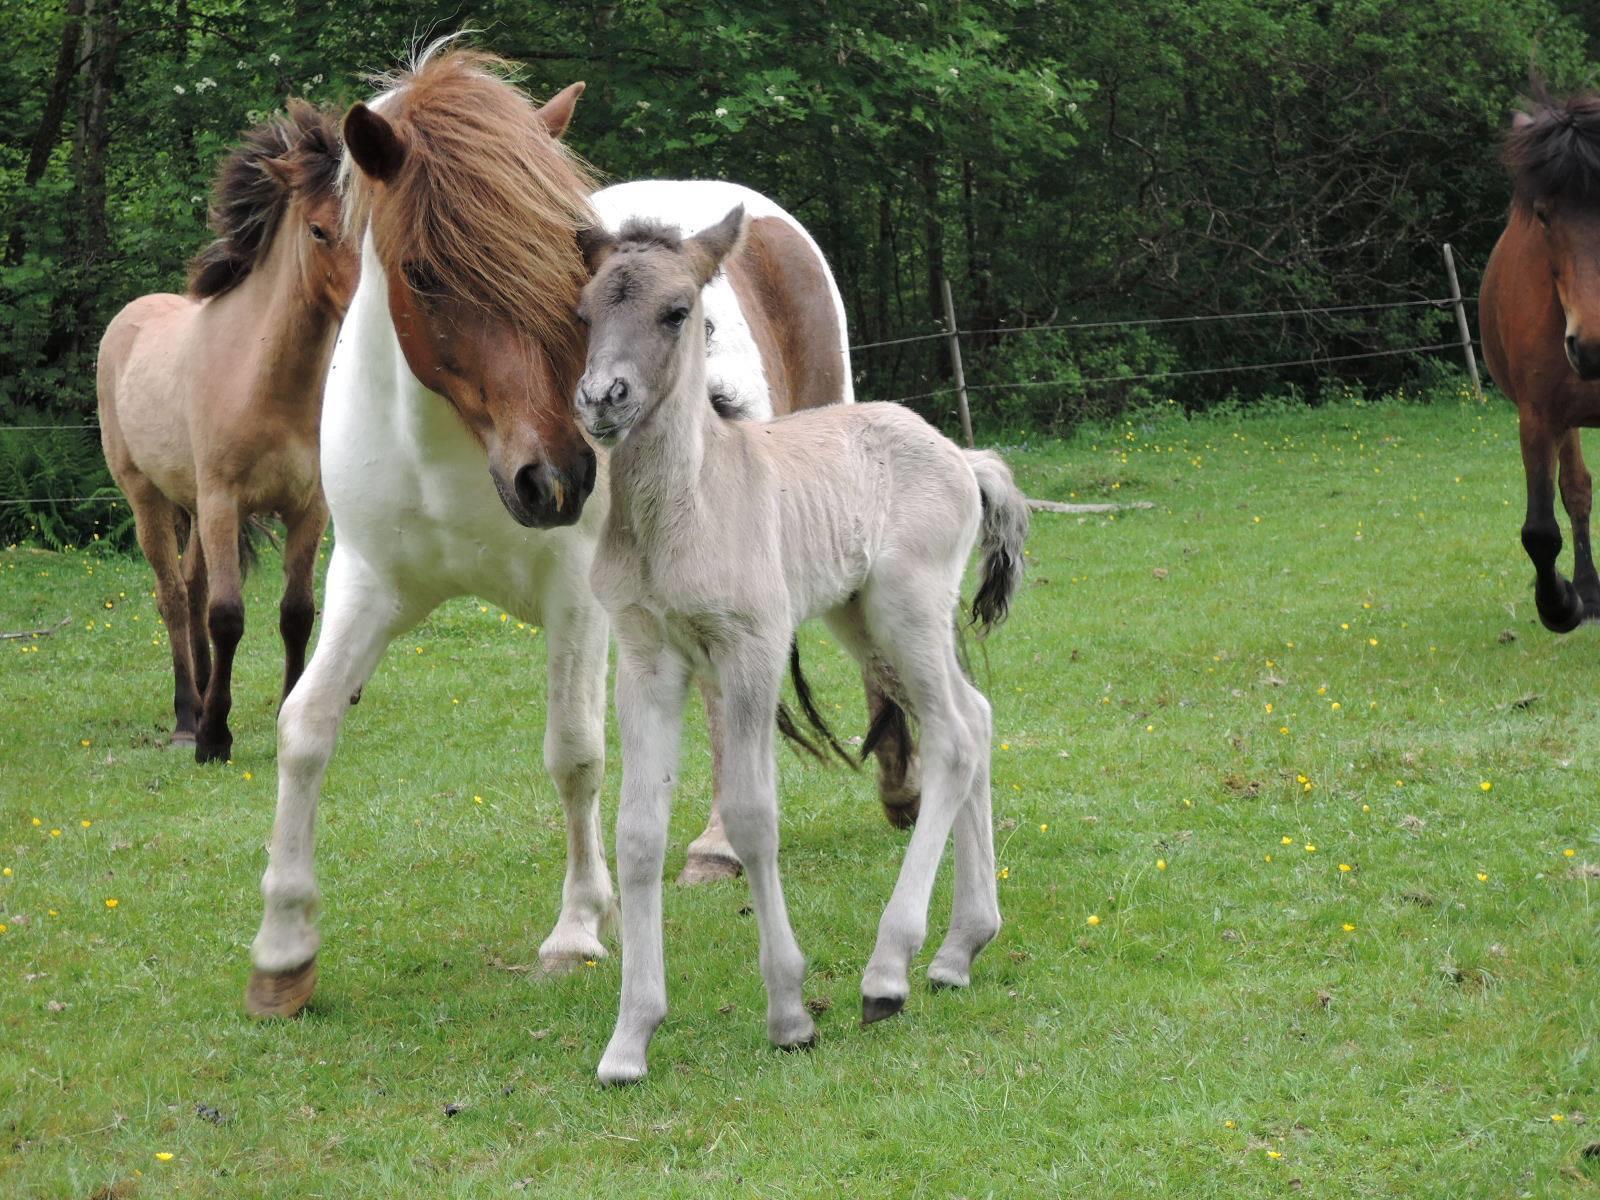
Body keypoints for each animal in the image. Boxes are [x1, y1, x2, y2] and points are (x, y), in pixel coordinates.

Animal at [98, 103, 355, 761]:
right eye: (318, 231)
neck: (264, 379)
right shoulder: (221, 502)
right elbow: (228, 615)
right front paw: (214, 737)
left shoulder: (310, 507)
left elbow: (297, 612)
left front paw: (290, 714)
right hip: (149, 498)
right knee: (171, 595)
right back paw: (189, 712)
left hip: (192, 503)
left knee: (190, 587)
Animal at [244, 47, 876, 1017]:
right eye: (423, 273)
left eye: (560, 271)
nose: (560, 477)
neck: (456, 453)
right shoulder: (366, 582)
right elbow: (305, 726)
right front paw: (283, 953)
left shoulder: (577, 598)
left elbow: (574, 752)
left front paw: (578, 928)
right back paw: (716, 846)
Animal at [576, 209, 1024, 1088]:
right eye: (584, 311)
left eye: (678, 312)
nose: (603, 398)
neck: (683, 510)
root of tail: (962, 455)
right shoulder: (647, 660)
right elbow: (637, 832)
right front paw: (630, 1038)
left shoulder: (751, 649)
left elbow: (752, 815)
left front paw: (788, 1013)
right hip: (864, 618)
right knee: (976, 717)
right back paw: (959, 949)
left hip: (906, 610)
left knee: (956, 737)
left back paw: (888, 973)